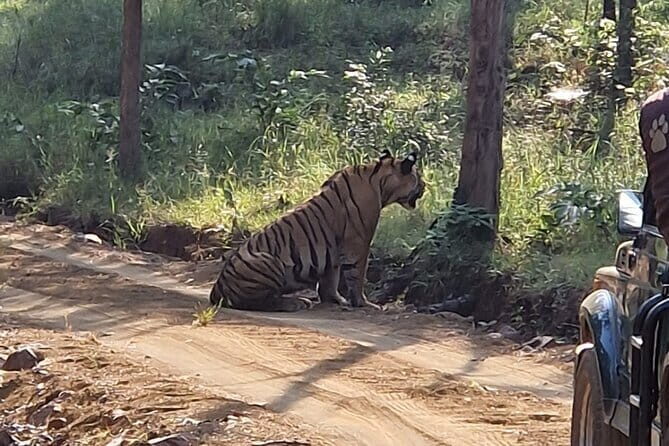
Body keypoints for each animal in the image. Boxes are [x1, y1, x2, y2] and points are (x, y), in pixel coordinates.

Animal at [209, 150, 425, 312]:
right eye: (419, 177)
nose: (425, 186)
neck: (379, 180)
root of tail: (217, 287)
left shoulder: (335, 249)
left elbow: (331, 277)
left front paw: (334, 299)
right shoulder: (358, 243)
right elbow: (357, 275)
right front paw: (364, 303)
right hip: (267, 261)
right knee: (258, 302)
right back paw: (297, 303)